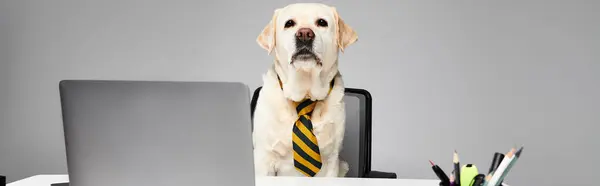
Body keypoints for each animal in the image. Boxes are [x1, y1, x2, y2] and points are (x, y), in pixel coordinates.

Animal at [252, 3, 356, 177]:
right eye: (289, 23)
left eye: (322, 22)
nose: (305, 34)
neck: (304, 96)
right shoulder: (263, 160)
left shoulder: (331, 162)